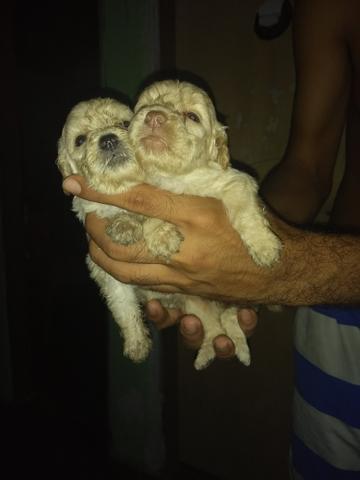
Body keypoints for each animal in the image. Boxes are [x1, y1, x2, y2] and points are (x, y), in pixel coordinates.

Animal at [126, 80, 284, 370]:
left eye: (192, 117)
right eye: (145, 106)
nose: (154, 116)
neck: (173, 177)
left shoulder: (236, 182)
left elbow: (244, 211)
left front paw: (264, 247)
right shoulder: (145, 190)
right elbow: (150, 209)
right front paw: (162, 236)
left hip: (243, 299)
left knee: (232, 318)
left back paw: (241, 353)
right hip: (196, 304)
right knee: (214, 329)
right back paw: (206, 356)